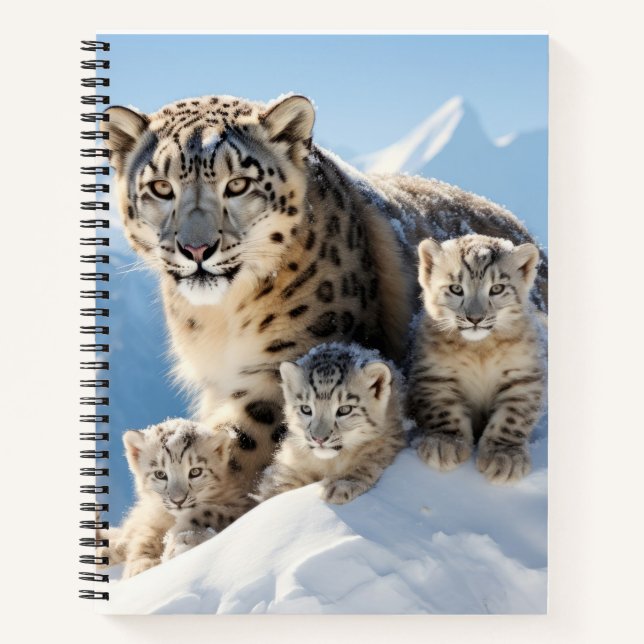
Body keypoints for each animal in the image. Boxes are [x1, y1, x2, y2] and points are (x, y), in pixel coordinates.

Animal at [101, 92, 547, 501]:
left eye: (238, 184)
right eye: (161, 187)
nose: (196, 249)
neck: (221, 320)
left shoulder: (283, 367)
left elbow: (239, 449)